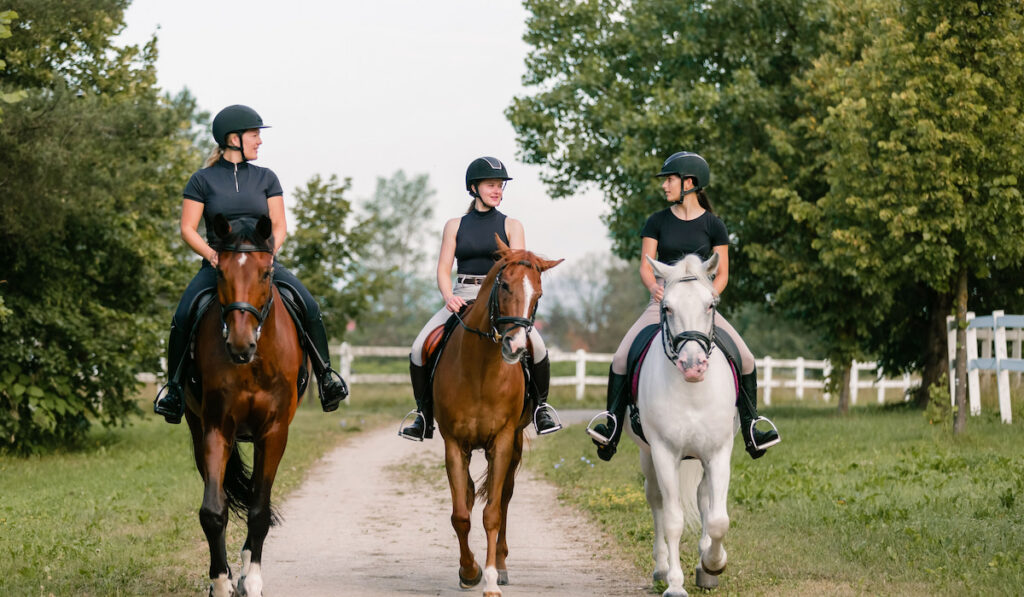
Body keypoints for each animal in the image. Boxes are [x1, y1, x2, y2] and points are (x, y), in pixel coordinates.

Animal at [185, 216, 303, 597]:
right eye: (220, 272)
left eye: (265, 273)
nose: (240, 344)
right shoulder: (215, 429)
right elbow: (213, 511)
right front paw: (219, 583)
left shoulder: (274, 433)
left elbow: (259, 511)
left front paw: (251, 580)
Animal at [430, 239, 565, 597]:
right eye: (504, 286)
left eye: (539, 294)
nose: (515, 346)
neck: (480, 369)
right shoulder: (454, 445)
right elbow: (461, 514)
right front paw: (469, 572)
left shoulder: (502, 442)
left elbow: (492, 513)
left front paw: (490, 579)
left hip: (513, 445)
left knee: (503, 500)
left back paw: (501, 567)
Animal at [630, 253, 737, 597]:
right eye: (667, 308)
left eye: (710, 305)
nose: (692, 366)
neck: (692, 391)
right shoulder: (664, 453)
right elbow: (673, 519)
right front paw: (675, 584)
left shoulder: (718, 453)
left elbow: (718, 519)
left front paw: (713, 563)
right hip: (648, 456)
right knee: (657, 501)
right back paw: (662, 569)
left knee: (704, 498)